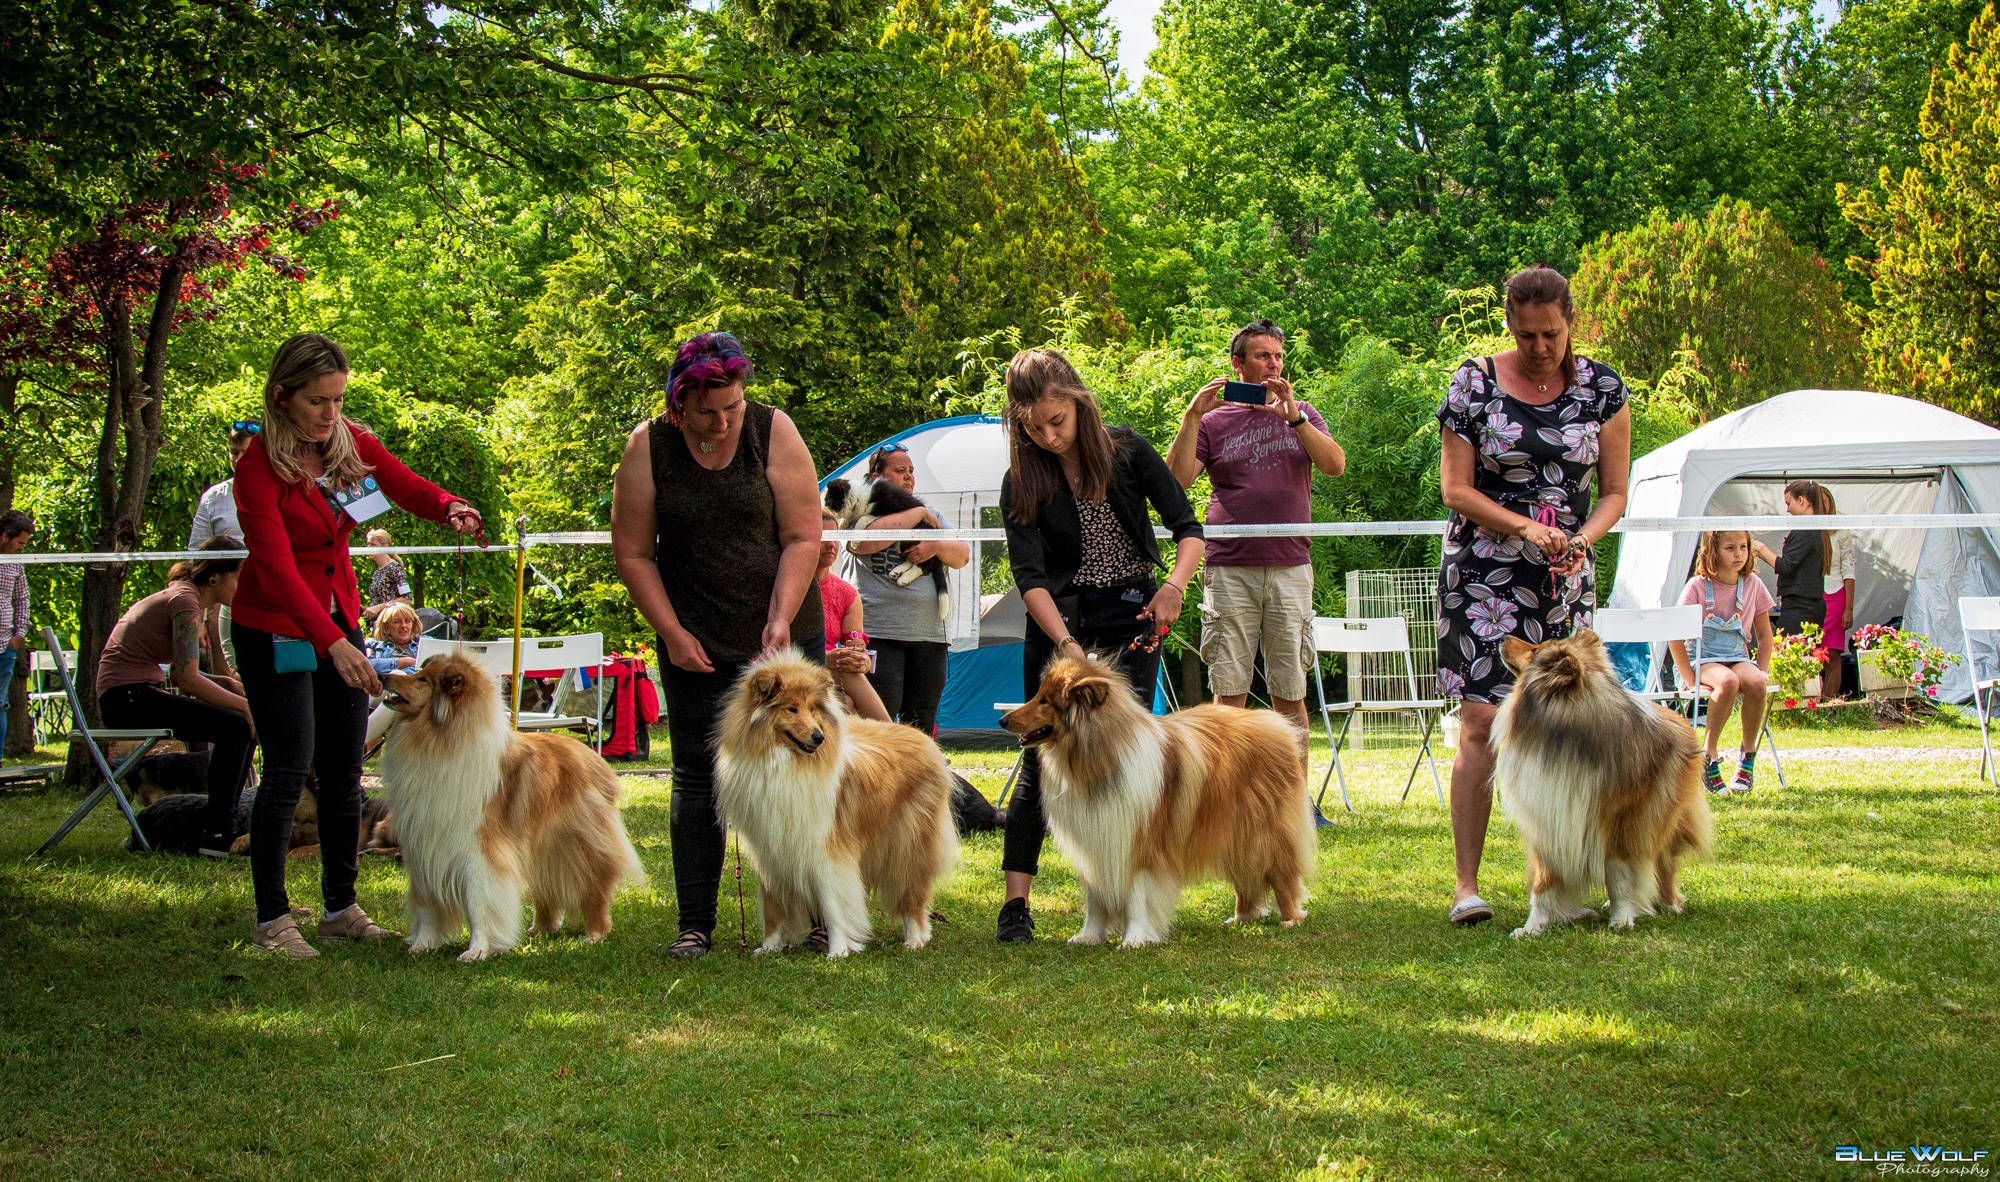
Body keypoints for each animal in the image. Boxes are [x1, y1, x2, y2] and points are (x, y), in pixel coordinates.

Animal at [377, 652, 647, 962]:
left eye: (422, 679)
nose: (382, 676)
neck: (441, 739)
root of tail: (592, 757)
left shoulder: (480, 850)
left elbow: (478, 902)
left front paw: (477, 950)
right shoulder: (424, 847)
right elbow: (426, 904)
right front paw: (423, 944)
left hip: (579, 847)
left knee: (594, 887)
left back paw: (595, 933)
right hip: (543, 849)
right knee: (547, 887)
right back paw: (541, 928)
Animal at [715, 649, 957, 957]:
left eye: (813, 709)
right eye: (791, 709)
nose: (819, 737)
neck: (785, 762)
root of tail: (921, 736)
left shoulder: (827, 848)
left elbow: (833, 903)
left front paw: (839, 950)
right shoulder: (771, 850)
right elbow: (773, 905)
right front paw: (769, 946)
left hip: (907, 847)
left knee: (913, 895)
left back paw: (914, 938)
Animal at [824, 476, 950, 620]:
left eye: (828, 500)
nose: (823, 510)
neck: (858, 497)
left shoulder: (883, 511)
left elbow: (862, 518)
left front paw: (855, 541)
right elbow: (850, 518)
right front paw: (842, 525)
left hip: (915, 541)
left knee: (922, 565)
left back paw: (904, 578)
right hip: (902, 544)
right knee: (910, 560)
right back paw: (897, 572)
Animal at [1001, 654, 1316, 947]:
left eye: (1045, 701)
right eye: (1038, 694)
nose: (1003, 720)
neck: (1097, 761)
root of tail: (1277, 724)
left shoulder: (1143, 844)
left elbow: (1137, 896)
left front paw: (1134, 940)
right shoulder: (1096, 842)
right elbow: (1095, 899)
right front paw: (1089, 936)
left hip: (1264, 834)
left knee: (1282, 874)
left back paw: (1290, 918)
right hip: (1236, 835)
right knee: (1248, 876)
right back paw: (1242, 917)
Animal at [1494, 629, 1713, 938]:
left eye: (1536, 648)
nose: (1503, 637)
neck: (1567, 738)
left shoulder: (1620, 822)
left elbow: (1619, 874)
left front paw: (1622, 918)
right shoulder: (1548, 818)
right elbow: (1543, 883)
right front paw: (1532, 928)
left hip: (1661, 817)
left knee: (1664, 861)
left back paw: (1670, 903)